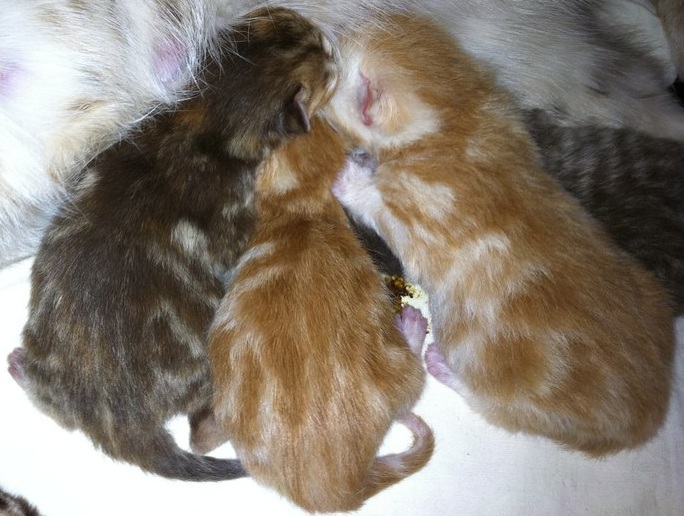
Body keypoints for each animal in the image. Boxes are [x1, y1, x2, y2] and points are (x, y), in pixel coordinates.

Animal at [6, 7, 336, 481]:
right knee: (200, 434)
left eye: (284, 17)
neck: (202, 118)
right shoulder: (235, 217)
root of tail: (114, 420)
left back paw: (18, 367)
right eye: (327, 67)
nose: (333, 47)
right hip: (209, 345)